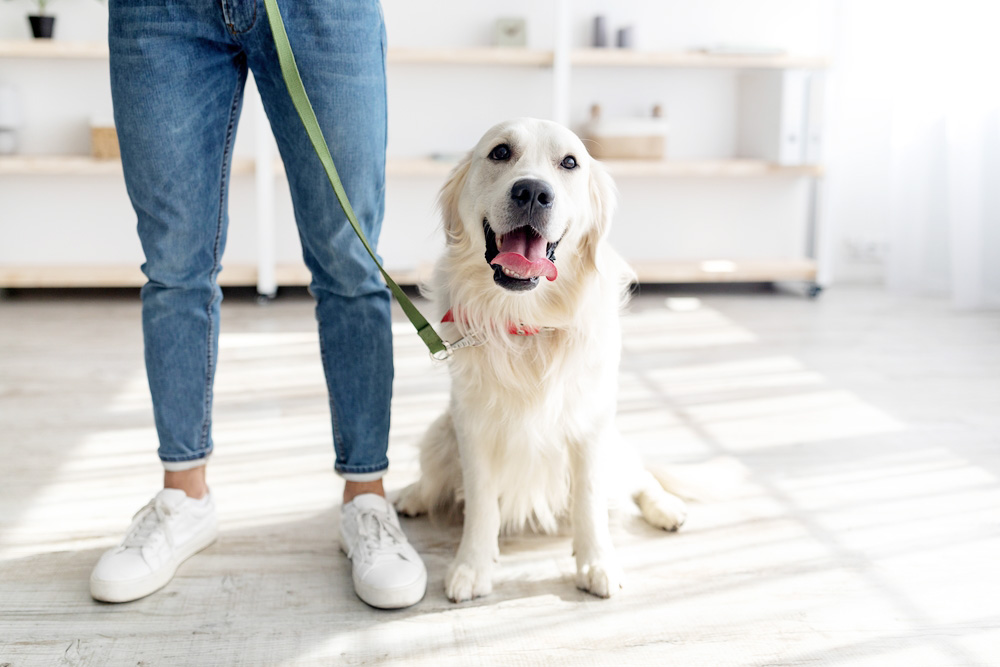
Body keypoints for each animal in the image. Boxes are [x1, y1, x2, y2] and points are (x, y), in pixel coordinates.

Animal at [396, 117, 688, 604]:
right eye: (499, 152)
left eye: (569, 162)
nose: (532, 192)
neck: (526, 323)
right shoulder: (471, 425)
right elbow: (480, 502)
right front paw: (472, 566)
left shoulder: (589, 425)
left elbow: (589, 499)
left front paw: (597, 563)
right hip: (442, 431)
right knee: (435, 476)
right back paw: (412, 495)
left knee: (640, 476)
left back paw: (667, 508)